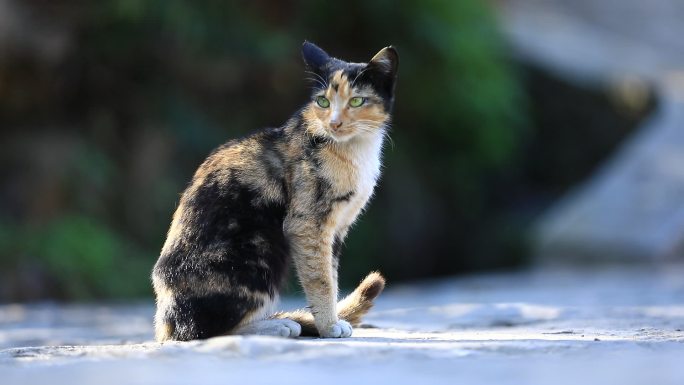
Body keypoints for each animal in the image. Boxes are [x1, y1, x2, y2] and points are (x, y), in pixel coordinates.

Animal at [152, 41, 398, 340]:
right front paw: (329, 326)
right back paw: (278, 325)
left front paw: (330, 320)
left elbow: (332, 274)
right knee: (202, 331)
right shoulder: (307, 225)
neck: (355, 150)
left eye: (357, 101)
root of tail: (164, 323)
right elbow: (321, 280)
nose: (334, 123)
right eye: (323, 102)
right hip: (261, 251)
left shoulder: (337, 230)